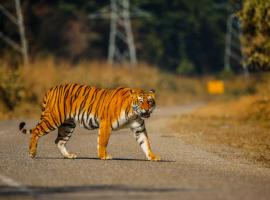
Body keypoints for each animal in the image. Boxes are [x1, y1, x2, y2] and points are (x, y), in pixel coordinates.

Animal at [19, 83, 160, 161]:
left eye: (150, 101)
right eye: (141, 102)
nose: (147, 110)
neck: (133, 114)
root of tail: (52, 88)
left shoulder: (139, 128)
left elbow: (145, 143)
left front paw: (153, 157)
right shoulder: (106, 123)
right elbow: (103, 141)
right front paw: (104, 156)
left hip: (68, 124)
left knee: (59, 140)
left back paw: (69, 156)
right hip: (53, 119)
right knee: (36, 131)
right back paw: (32, 153)